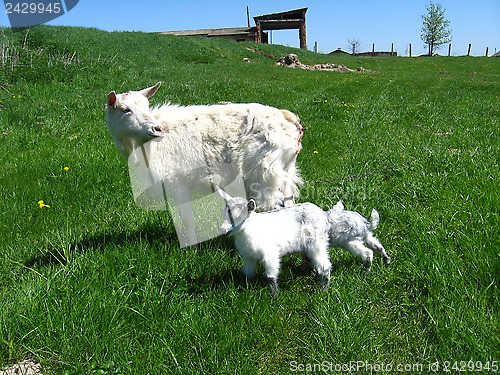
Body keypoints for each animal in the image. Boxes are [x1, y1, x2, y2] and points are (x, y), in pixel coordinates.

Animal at [106, 82, 302, 247]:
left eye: (147, 106)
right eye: (125, 110)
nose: (157, 129)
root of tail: (289, 121)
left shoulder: (177, 182)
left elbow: (186, 217)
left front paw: (191, 247)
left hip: (264, 173)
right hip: (284, 172)